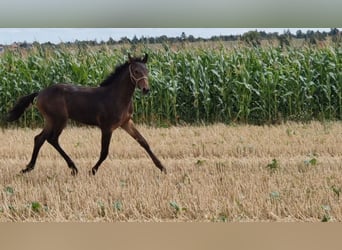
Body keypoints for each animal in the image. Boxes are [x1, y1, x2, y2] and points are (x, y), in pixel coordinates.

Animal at [6, 54, 167, 176]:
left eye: (147, 70)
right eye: (135, 71)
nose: (146, 89)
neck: (116, 97)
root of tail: (40, 93)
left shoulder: (126, 122)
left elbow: (143, 141)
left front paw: (162, 167)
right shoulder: (107, 127)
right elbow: (104, 152)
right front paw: (92, 170)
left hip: (50, 120)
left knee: (39, 138)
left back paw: (28, 168)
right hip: (59, 119)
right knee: (51, 139)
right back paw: (73, 167)